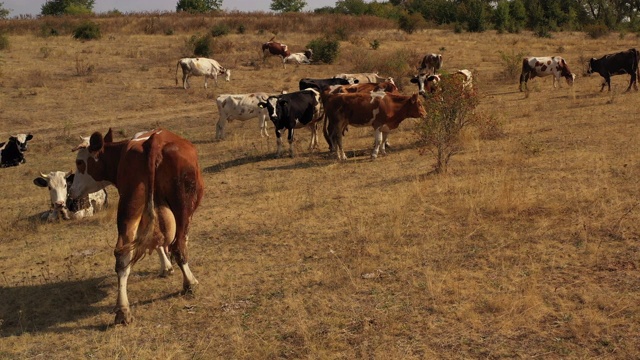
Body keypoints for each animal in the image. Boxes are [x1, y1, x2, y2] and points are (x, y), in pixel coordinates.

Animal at [68, 128, 204, 324]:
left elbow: (156, 239)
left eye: (80, 162)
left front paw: (166, 267)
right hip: (184, 205)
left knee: (123, 255)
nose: (71, 191)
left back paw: (123, 311)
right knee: (178, 245)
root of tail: (152, 143)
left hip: (129, 208)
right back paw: (190, 283)